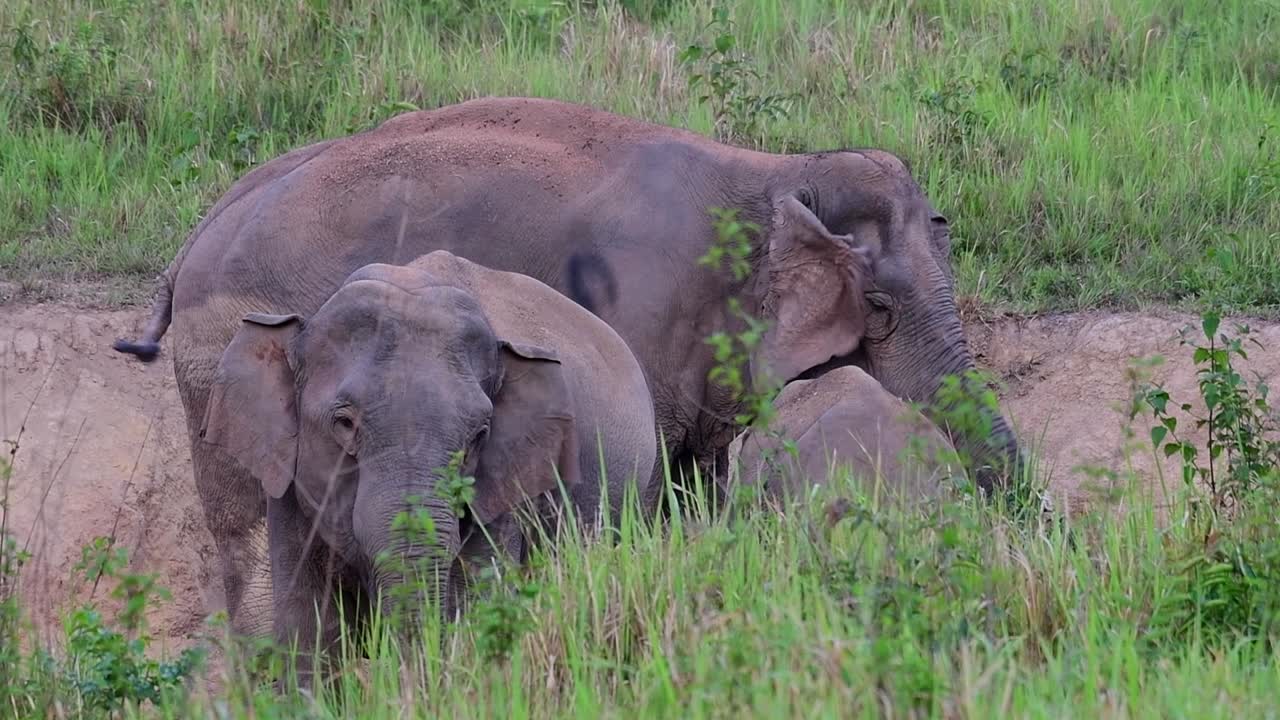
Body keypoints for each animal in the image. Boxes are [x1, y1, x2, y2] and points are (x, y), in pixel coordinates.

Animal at [198, 250, 656, 674]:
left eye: (480, 435)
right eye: (344, 423)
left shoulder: (504, 493)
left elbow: (478, 601)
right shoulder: (289, 483)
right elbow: (307, 632)